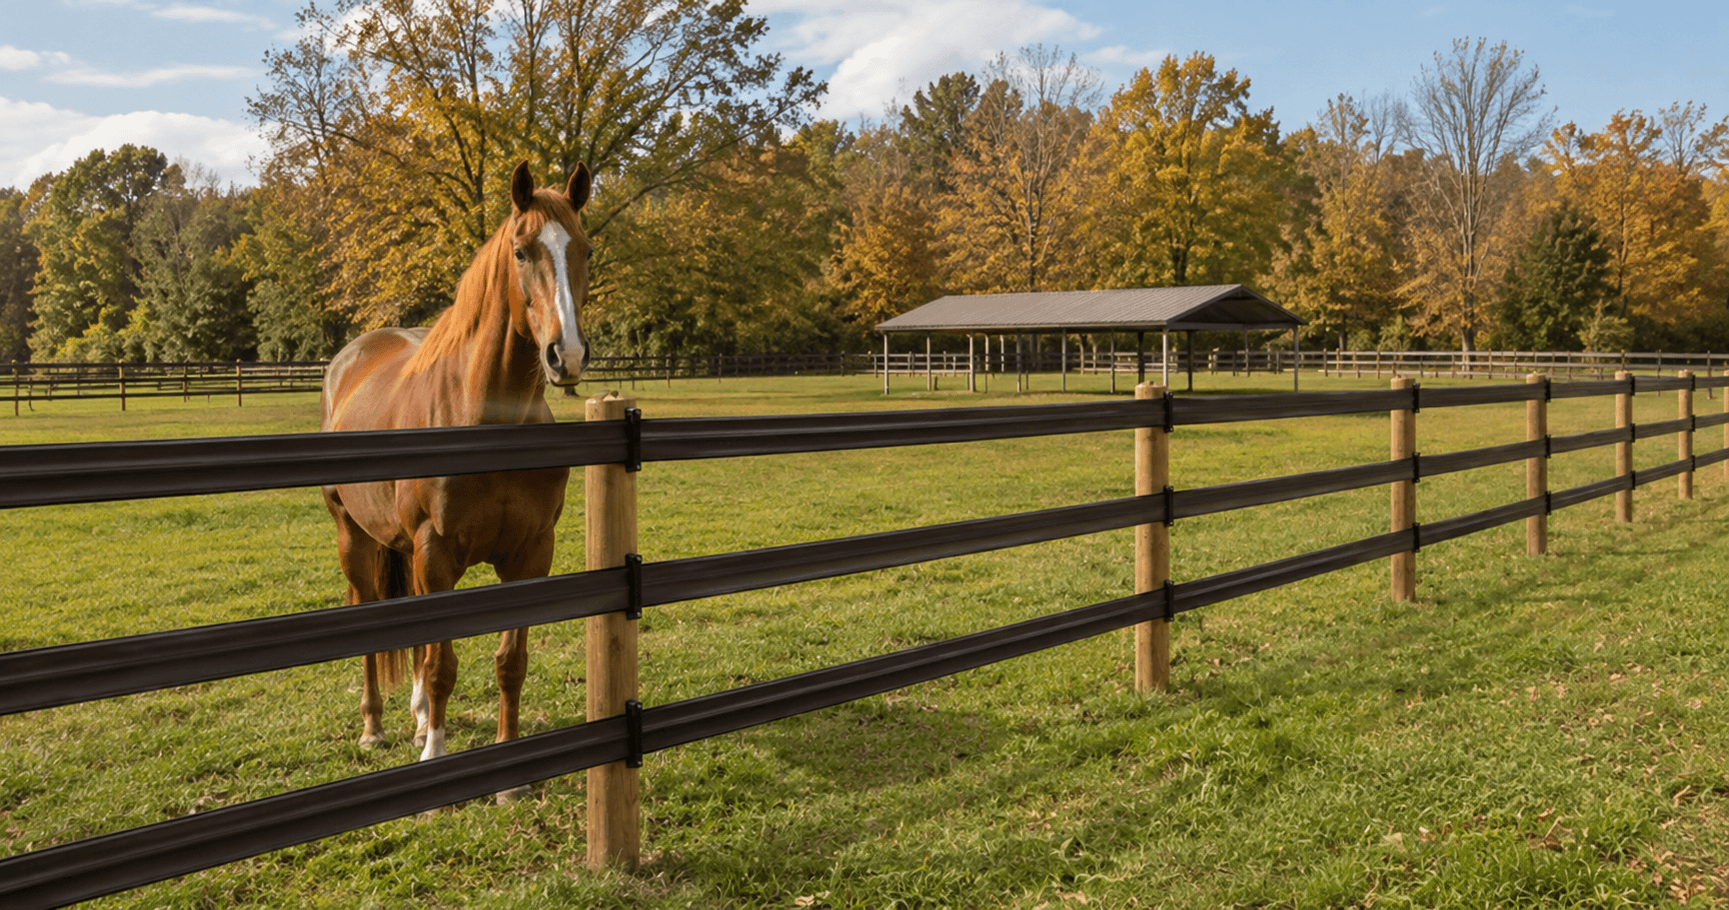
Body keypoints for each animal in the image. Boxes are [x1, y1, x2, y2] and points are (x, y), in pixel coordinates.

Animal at [320, 161, 593, 780]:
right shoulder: (434, 549)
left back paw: (419, 716)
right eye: (520, 252)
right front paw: (434, 754)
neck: (483, 415)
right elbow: (443, 663)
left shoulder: (531, 553)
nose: (565, 355)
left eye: (584, 249)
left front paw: (509, 775)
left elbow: (509, 661)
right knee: (367, 616)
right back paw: (374, 726)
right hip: (355, 539)